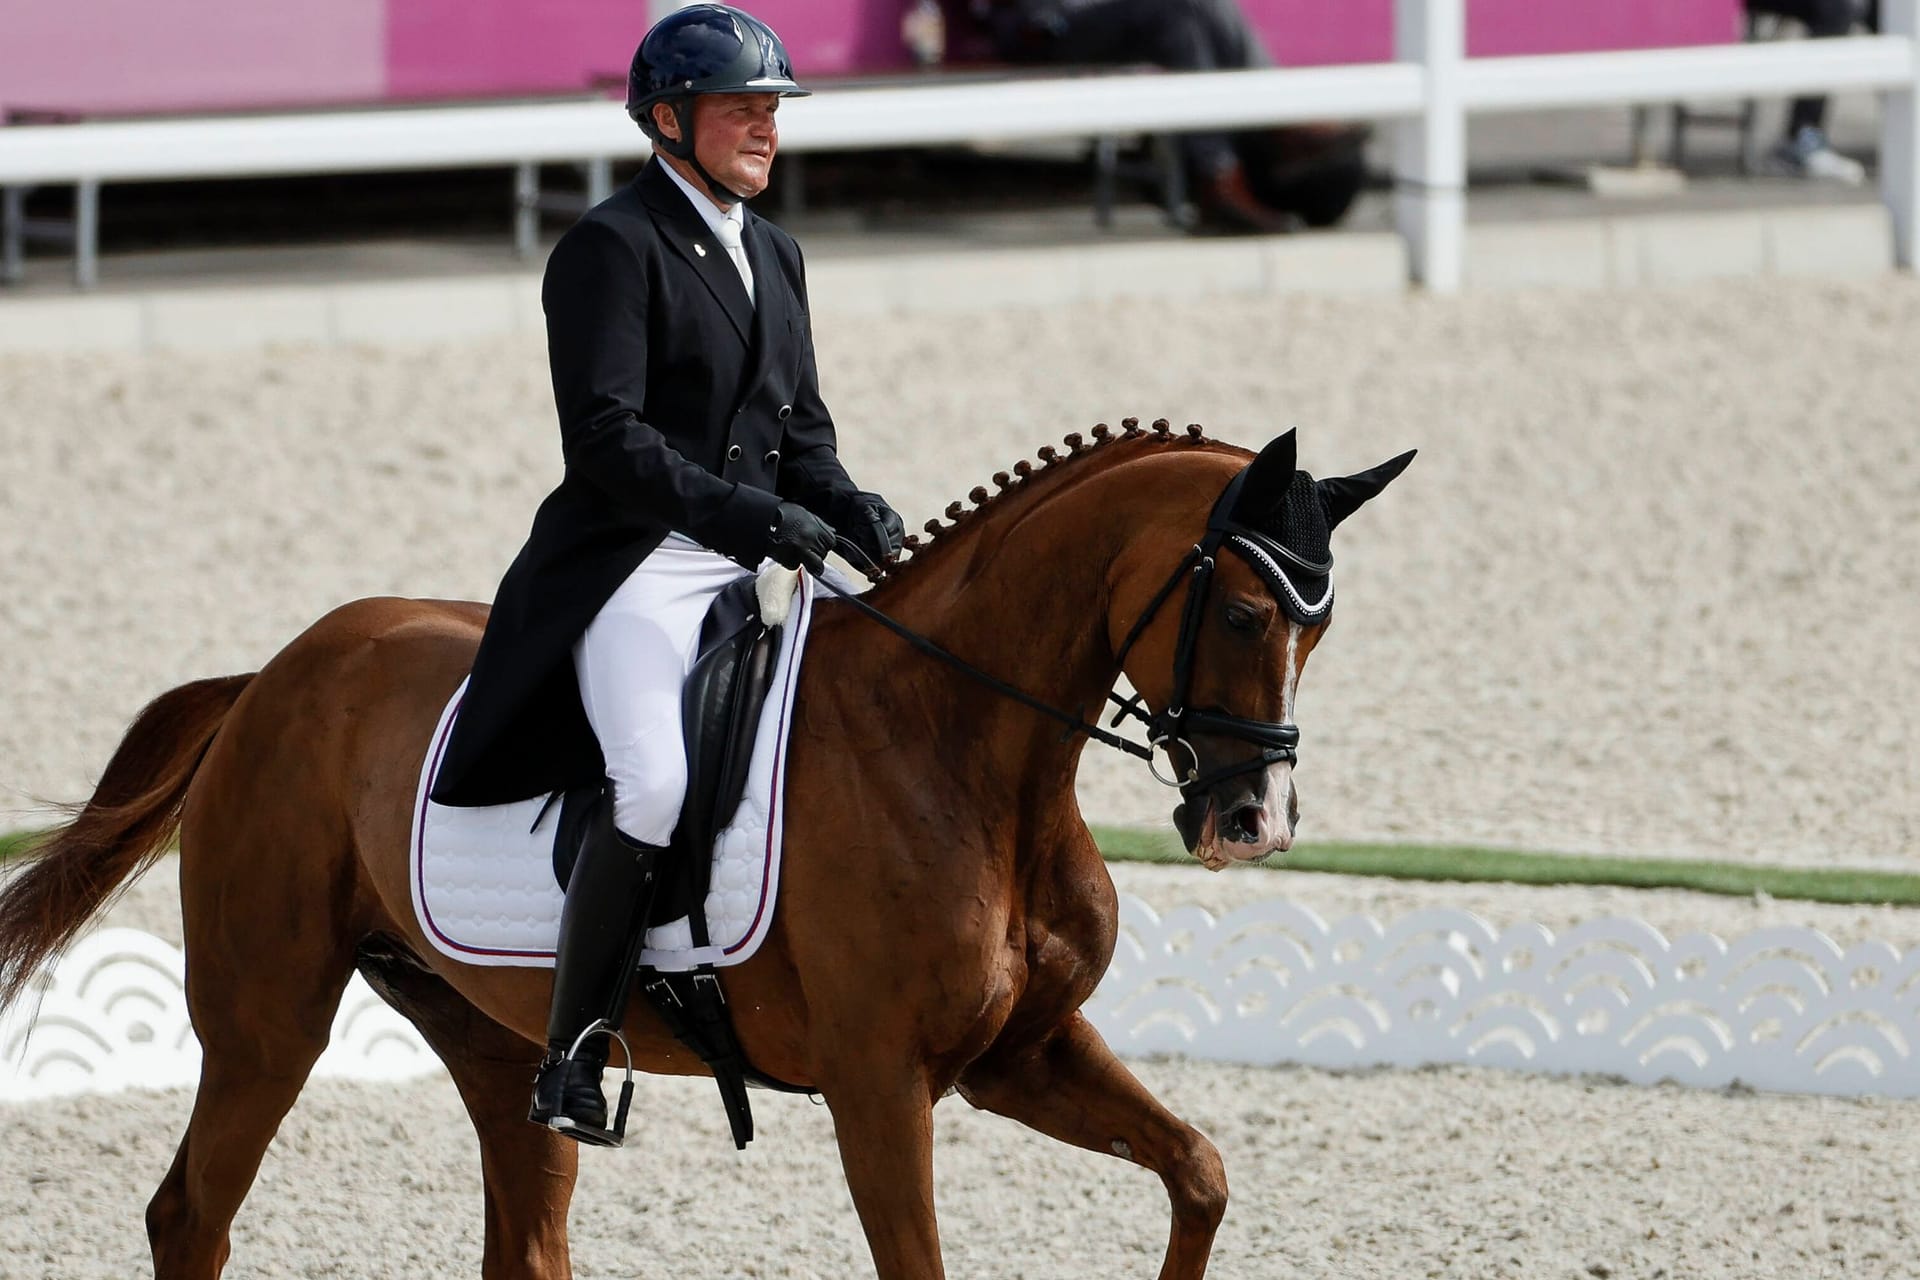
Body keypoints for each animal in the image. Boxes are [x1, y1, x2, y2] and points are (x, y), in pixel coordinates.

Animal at [0, 422, 1413, 1280]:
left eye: (1323, 628)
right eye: (1245, 612)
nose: (1254, 822)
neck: (965, 751)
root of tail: (272, 675)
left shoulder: (1021, 1054)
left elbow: (1200, 1173)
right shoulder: (881, 1084)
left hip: (496, 1038)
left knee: (523, 1230)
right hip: (269, 1015)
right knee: (191, 1211)